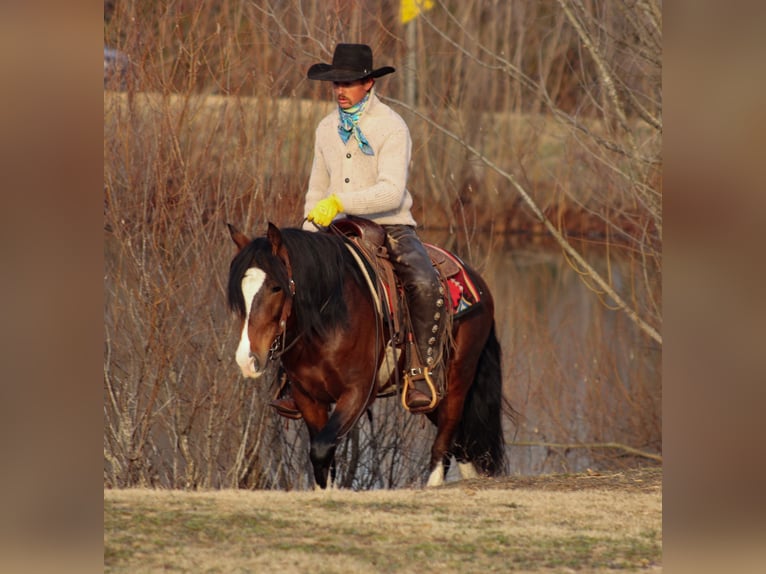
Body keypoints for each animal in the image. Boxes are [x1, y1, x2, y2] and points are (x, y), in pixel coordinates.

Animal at [227, 220, 510, 489]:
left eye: (276, 287)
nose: (247, 359)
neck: (328, 320)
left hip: (457, 379)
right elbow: (323, 460)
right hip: (435, 398)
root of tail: (477, 283)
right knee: (460, 442)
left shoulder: (357, 393)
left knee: (445, 439)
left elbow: (321, 449)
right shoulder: (307, 398)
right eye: (240, 288)